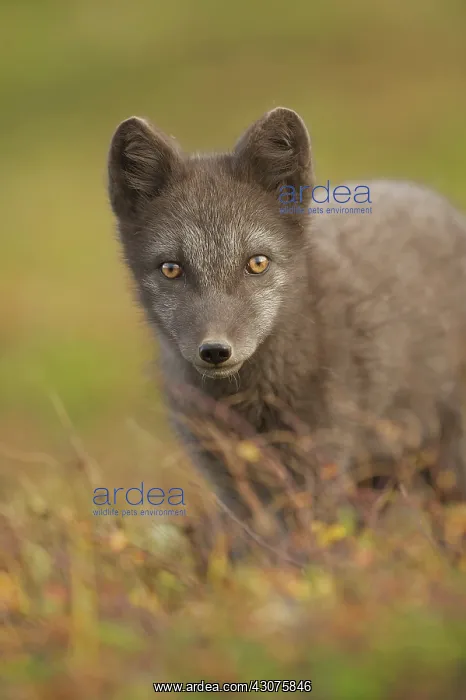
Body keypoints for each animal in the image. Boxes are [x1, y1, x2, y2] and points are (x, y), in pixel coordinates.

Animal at [107, 107, 466, 536]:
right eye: (171, 268)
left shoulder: (316, 468)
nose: (215, 351)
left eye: (257, 263)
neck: (248, 403)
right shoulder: (228, 479)